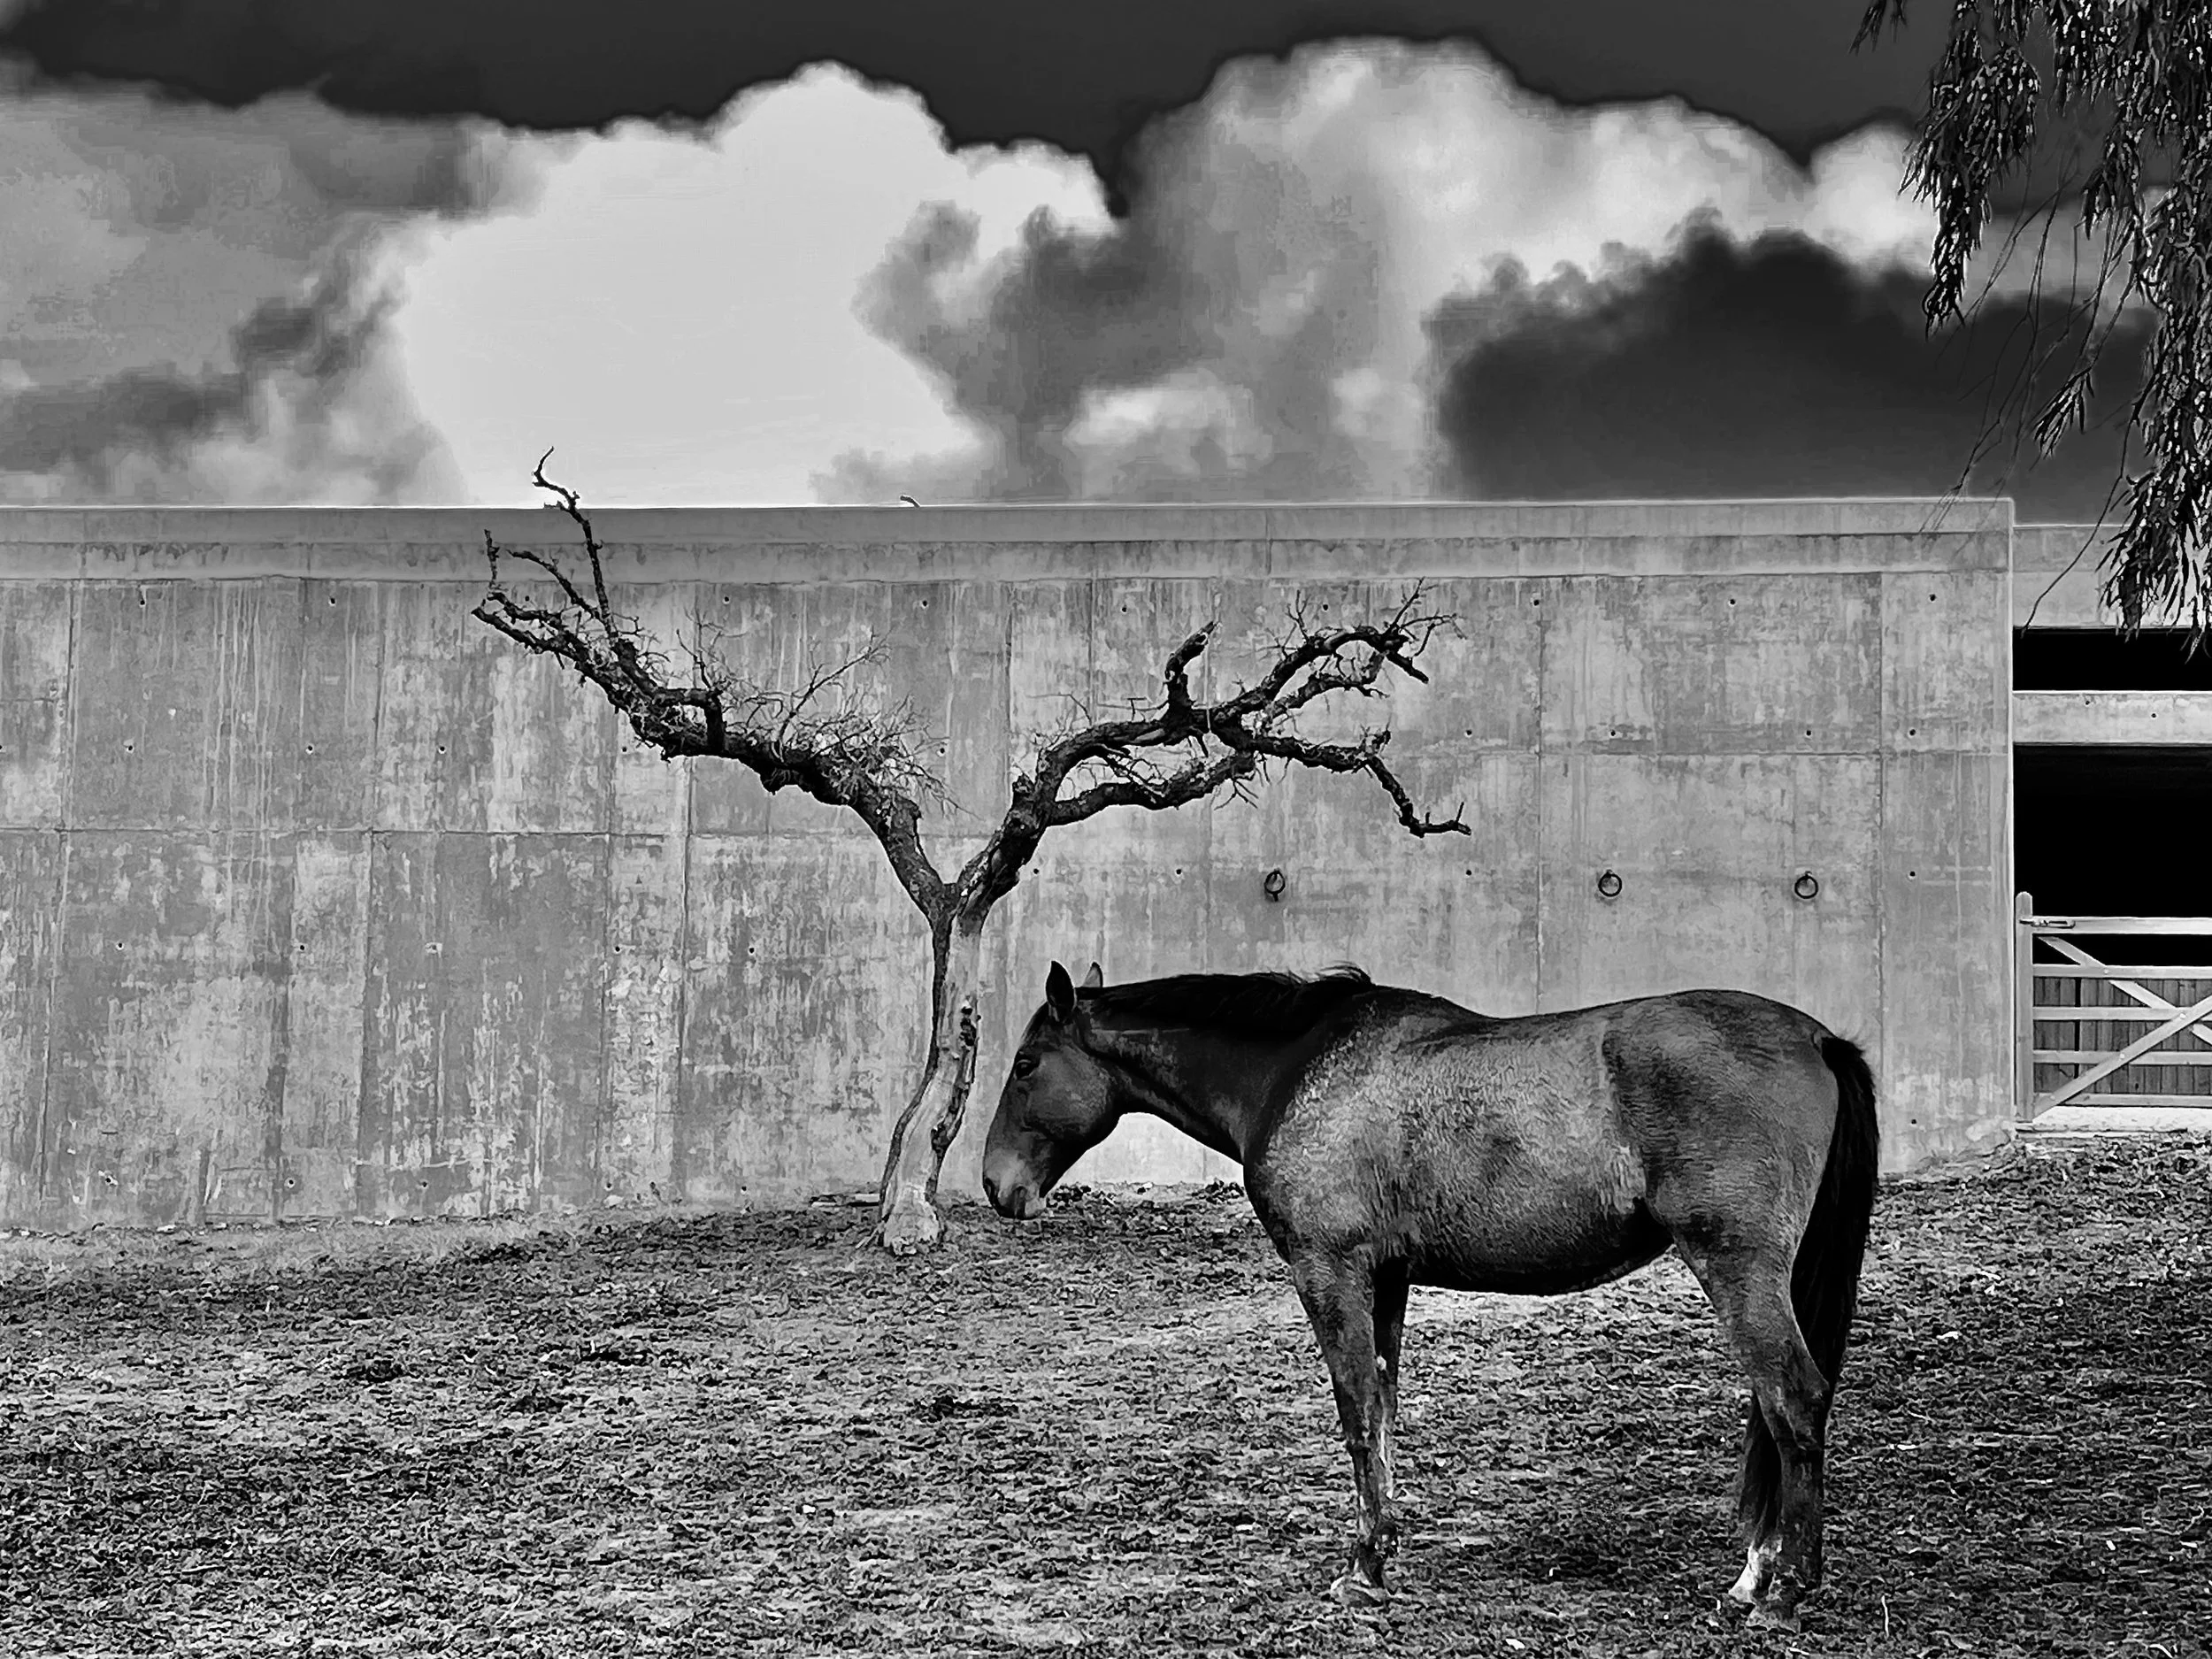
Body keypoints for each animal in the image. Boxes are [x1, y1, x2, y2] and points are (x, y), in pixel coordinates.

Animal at [980, 960, 1878, 1629]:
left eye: (1026, 1064)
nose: (997, 1184)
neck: (1297, 1071)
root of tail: (1818, 1037)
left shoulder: (1331, 1269)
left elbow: (1354, 1412)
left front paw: (1363, 1567)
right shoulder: (1389, 1279)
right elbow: (1382, 1408)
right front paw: (1384, 1552)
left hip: (1738, 1268)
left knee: (1793, 1400)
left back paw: (1784, 1593)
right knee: (1775, 1411)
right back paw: (1752, 1579)